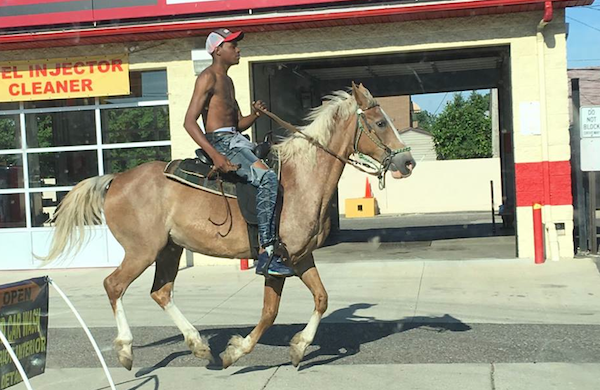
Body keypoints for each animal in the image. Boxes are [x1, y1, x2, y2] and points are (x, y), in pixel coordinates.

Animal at [43, 81, 418, 368]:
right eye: (380, 123)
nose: (408, 162)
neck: (302, 177)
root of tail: (115, 180)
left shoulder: (300, 257)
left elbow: (322, 299)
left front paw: (298, 347)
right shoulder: (276, 263)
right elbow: (269, 313)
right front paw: (237, 352)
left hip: (169, 249)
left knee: (160, 292)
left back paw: (198, 344)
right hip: (142, 251)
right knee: (114, 286)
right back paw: (125, 350)